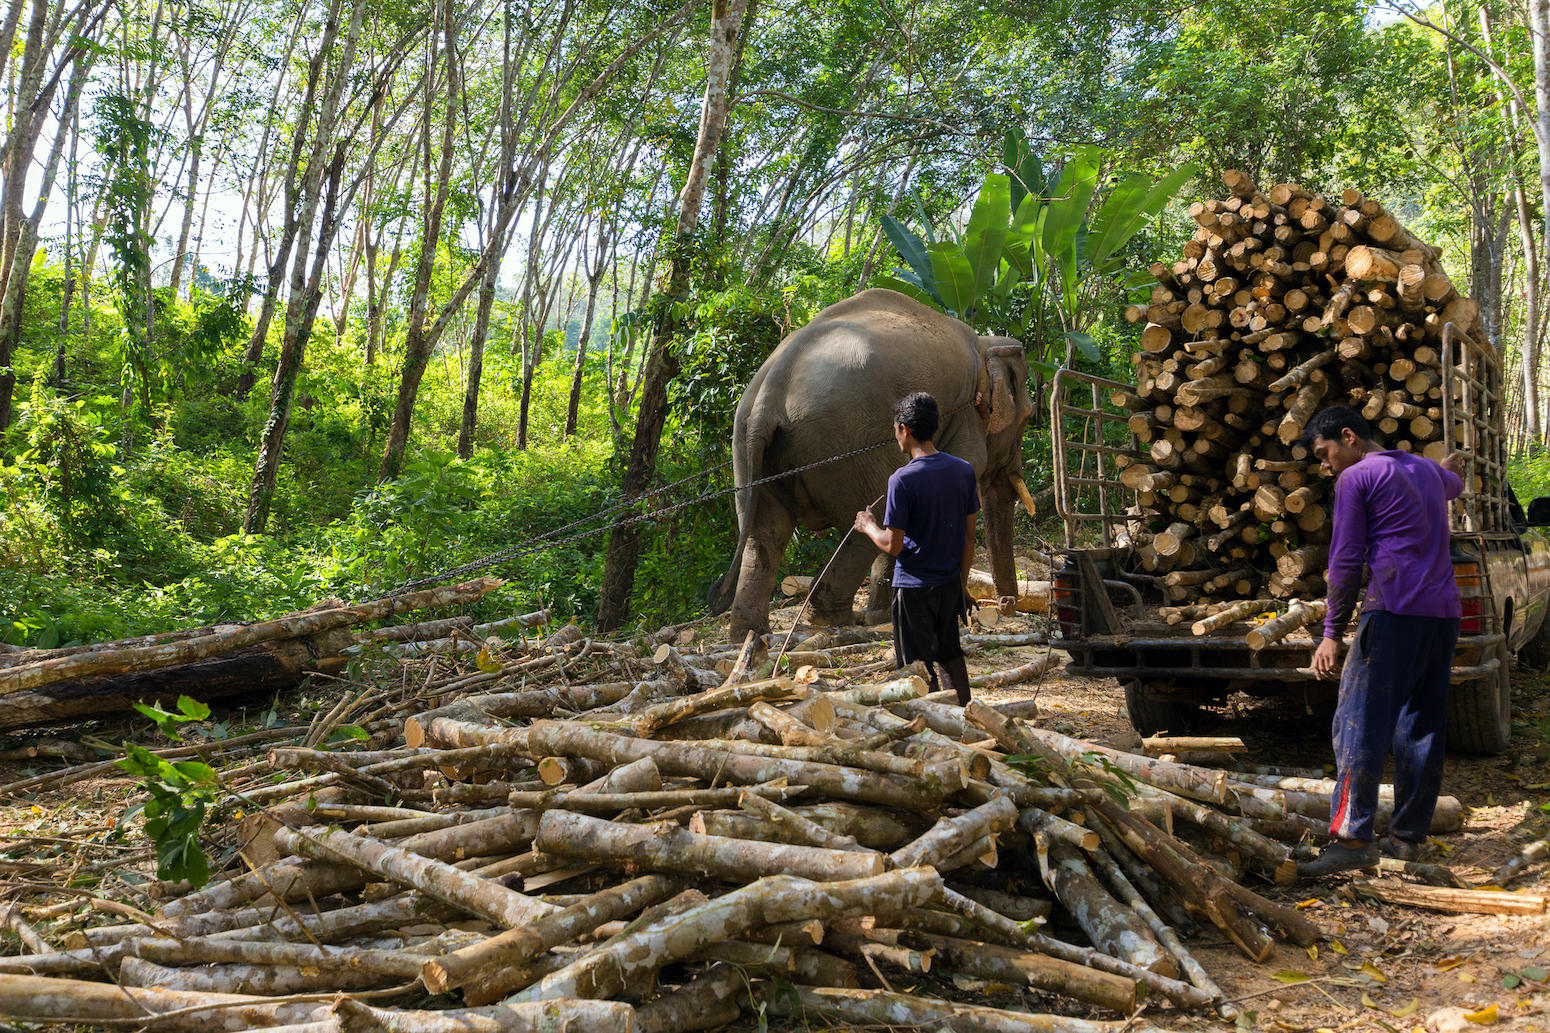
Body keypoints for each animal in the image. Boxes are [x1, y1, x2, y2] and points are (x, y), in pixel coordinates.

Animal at [709, 285, 1035, 639]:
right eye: (1028, 416)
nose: (1005, 604)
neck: (984, 343)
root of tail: (770, 391)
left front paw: (886, 613)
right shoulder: (965, 420)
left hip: (747, 445)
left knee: (763, 533)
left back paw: (753, 634)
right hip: (845, 438)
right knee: (869, 516)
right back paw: (833, 619)